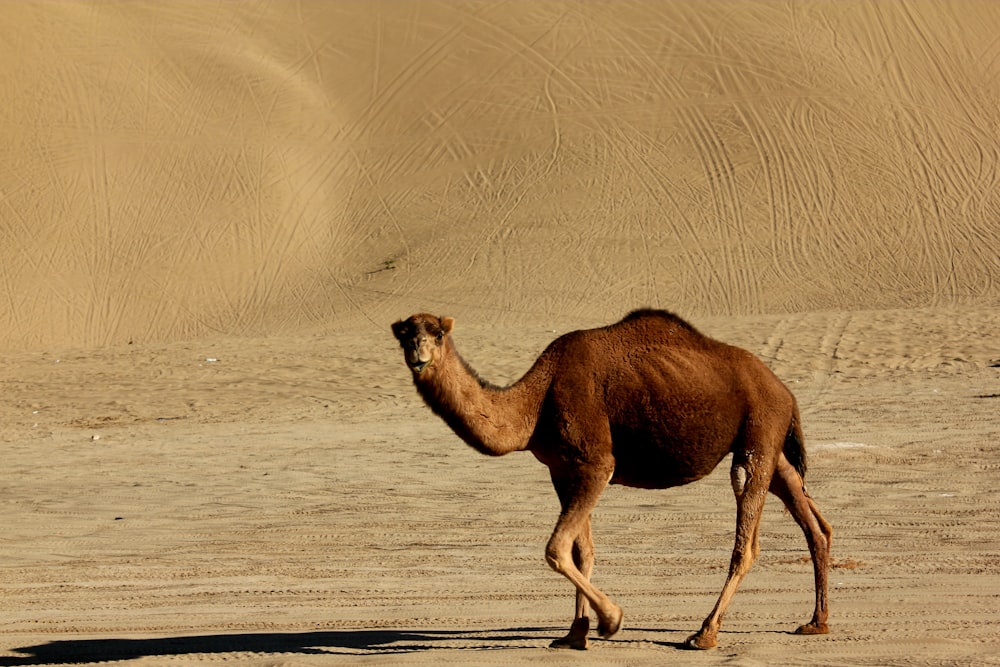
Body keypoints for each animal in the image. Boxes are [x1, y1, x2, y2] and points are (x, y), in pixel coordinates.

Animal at [390, 310, 828, 648]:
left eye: (437, 333)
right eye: (406, 334)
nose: (418, 356)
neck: (536, 402)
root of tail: (785, 391)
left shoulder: (596, 462)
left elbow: (556, 548)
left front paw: (611, 619)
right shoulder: (562, 469)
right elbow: (582, 551)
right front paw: (574, 633)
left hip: (759, 432)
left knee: (746, 539)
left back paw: (705, 633)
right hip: (771, 446)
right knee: (814, 524)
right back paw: (816, 622)